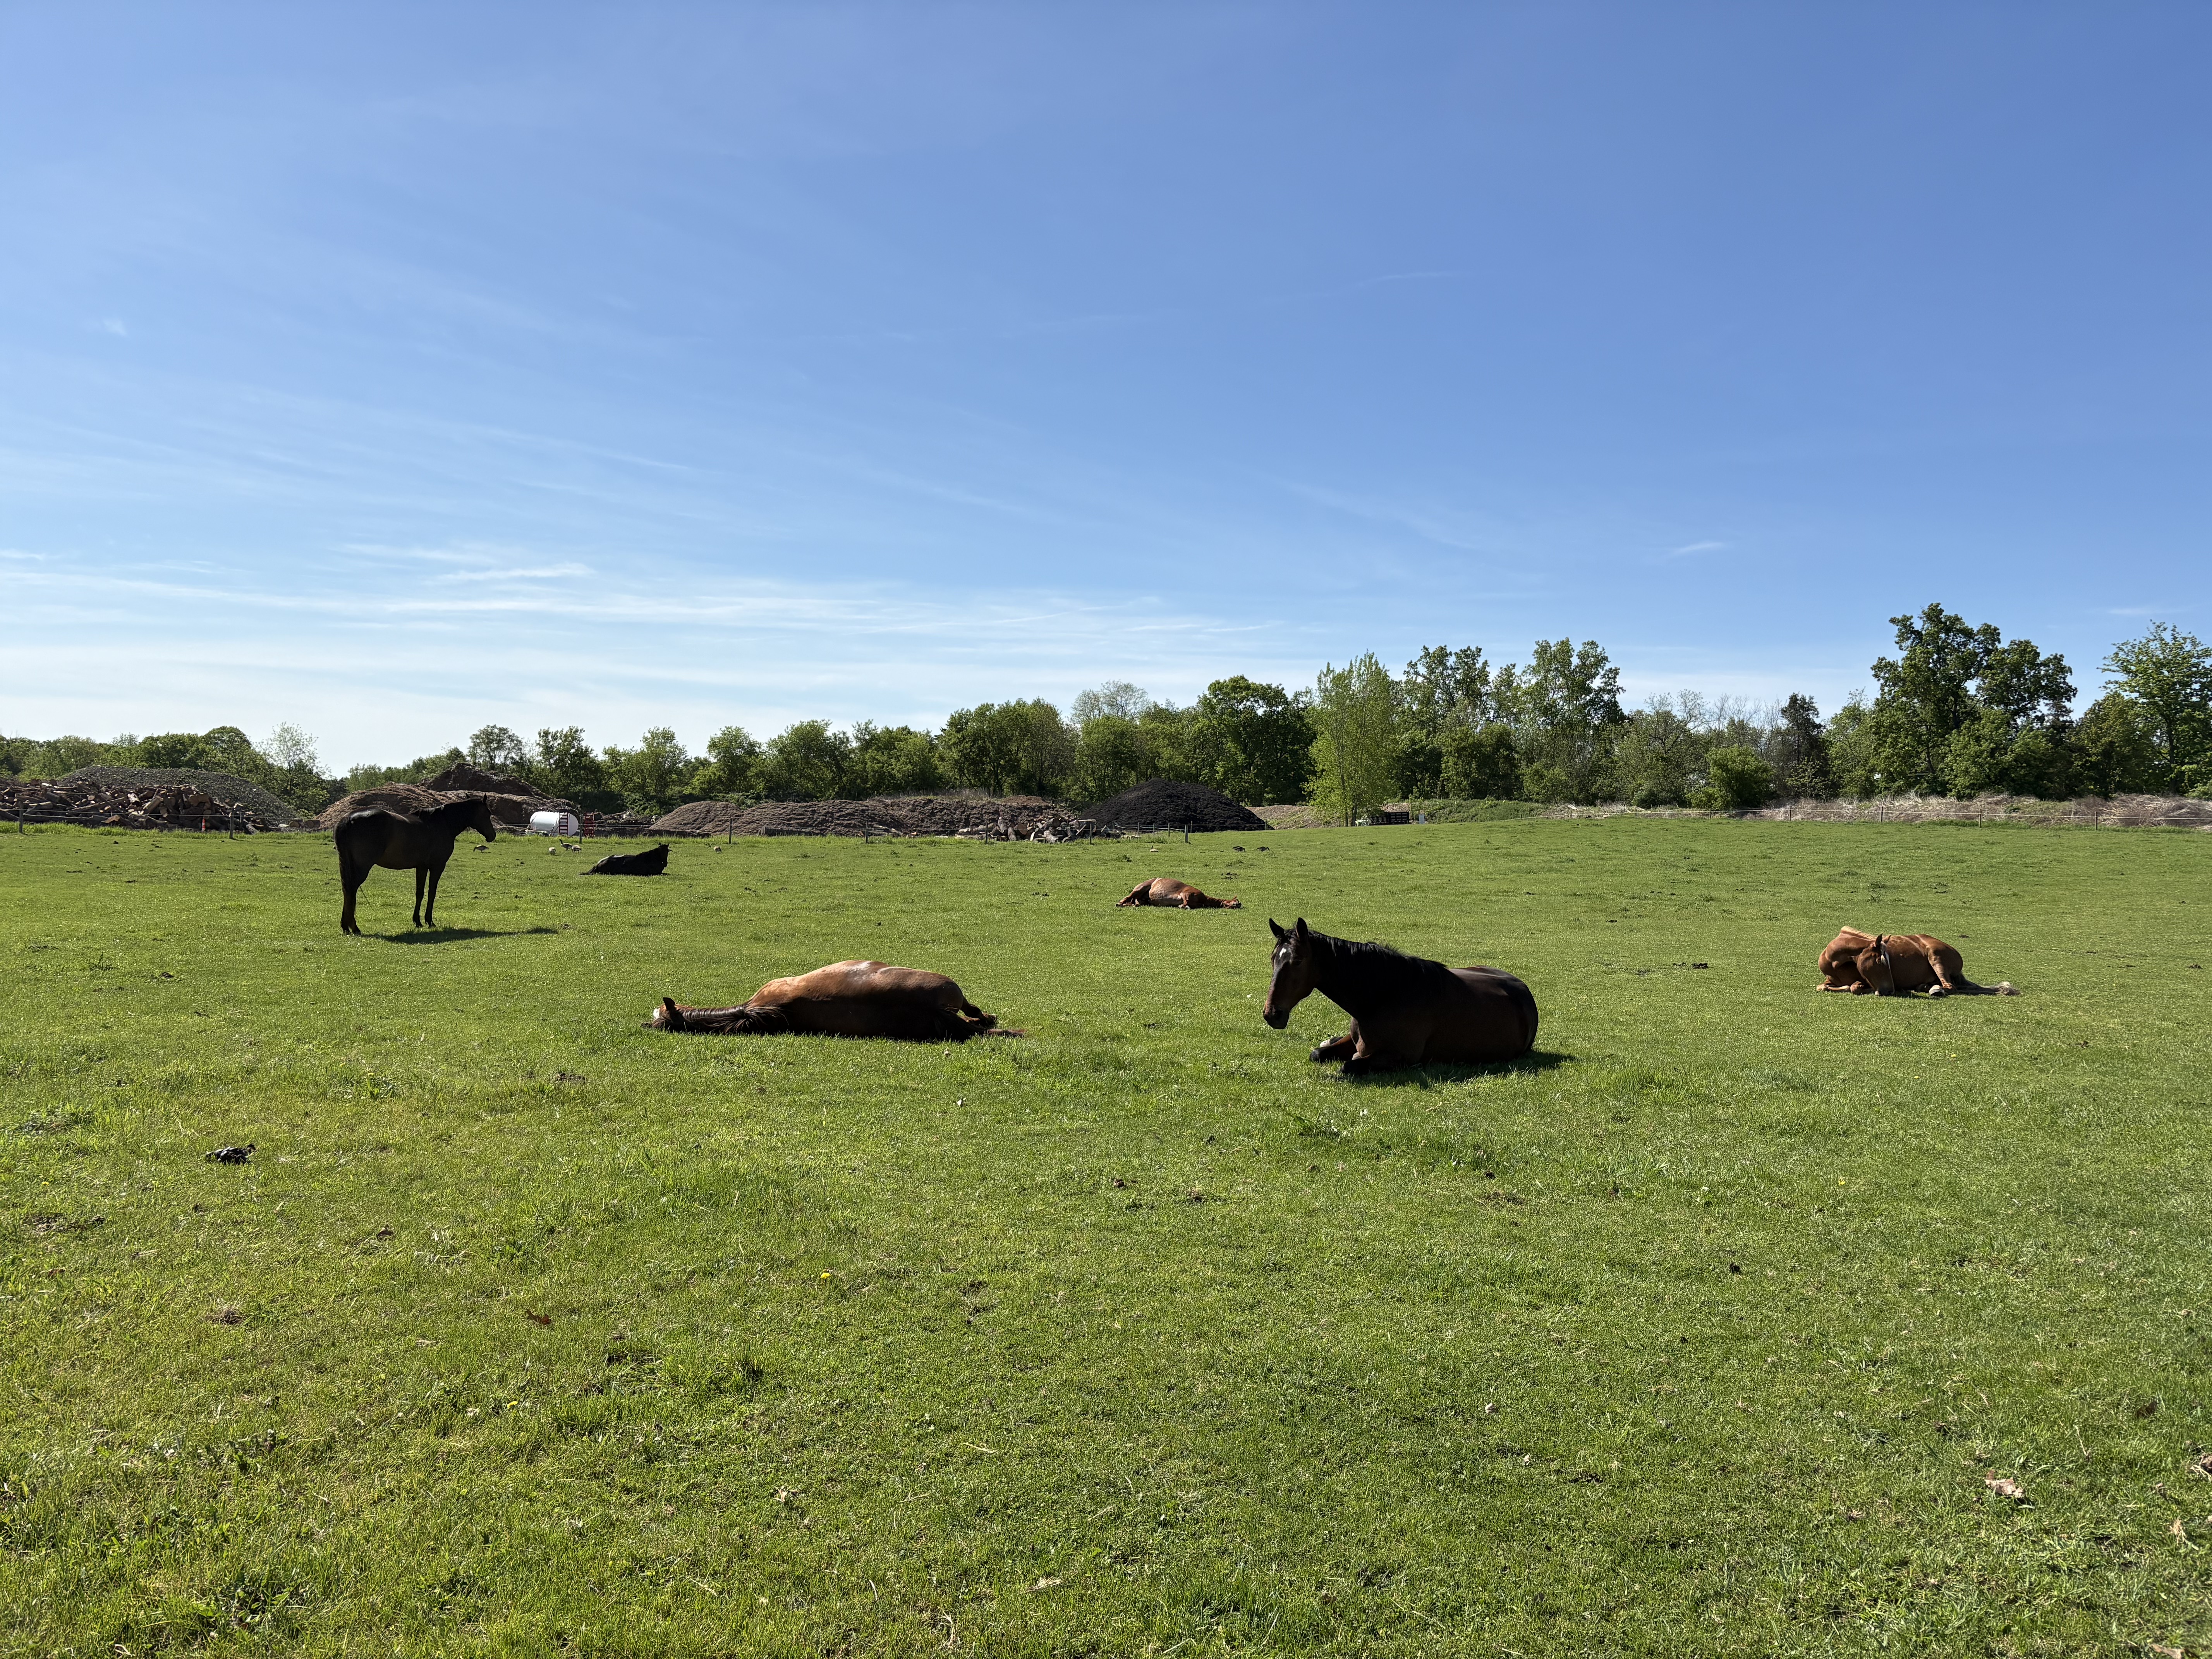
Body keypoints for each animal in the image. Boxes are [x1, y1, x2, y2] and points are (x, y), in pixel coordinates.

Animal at [334, 797, 497, 935]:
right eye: (488, 813)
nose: (493, 836)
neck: (442, 824)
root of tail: (349, 819)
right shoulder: (437, 867)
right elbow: (432, 893)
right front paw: (430, 921)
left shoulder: (422, 867)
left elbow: (420, 893)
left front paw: (418, 921)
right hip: (362, 868)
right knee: (351, 890)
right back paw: (354, 927)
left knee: (347, 891)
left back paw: (346, 927)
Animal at [1118, 876, 1241, 909]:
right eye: (1235, 901)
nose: (1238, 905)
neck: (1203, 899)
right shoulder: (1186, 893)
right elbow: (1185, 902)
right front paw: (1183, 906)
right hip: (1141, 888)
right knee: (1126, 899)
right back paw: (1121, 903)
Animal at [1262, 917, 1537, 1075]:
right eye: (1274, 959)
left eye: (1297, 962)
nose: (1272, 1014)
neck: (1384, 998)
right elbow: (1318, 1054)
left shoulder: (1399, 1058)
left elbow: (1350, 1064)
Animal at [1816, 929, 2017, 996]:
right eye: (1880, 961)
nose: (1890, 990)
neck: (1834, 961)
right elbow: (1822, 987)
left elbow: (1854, 987)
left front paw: (1860, 987)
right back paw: (1924, 987)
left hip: (1936, 957)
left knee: (1950, 987)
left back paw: (1934, 990)